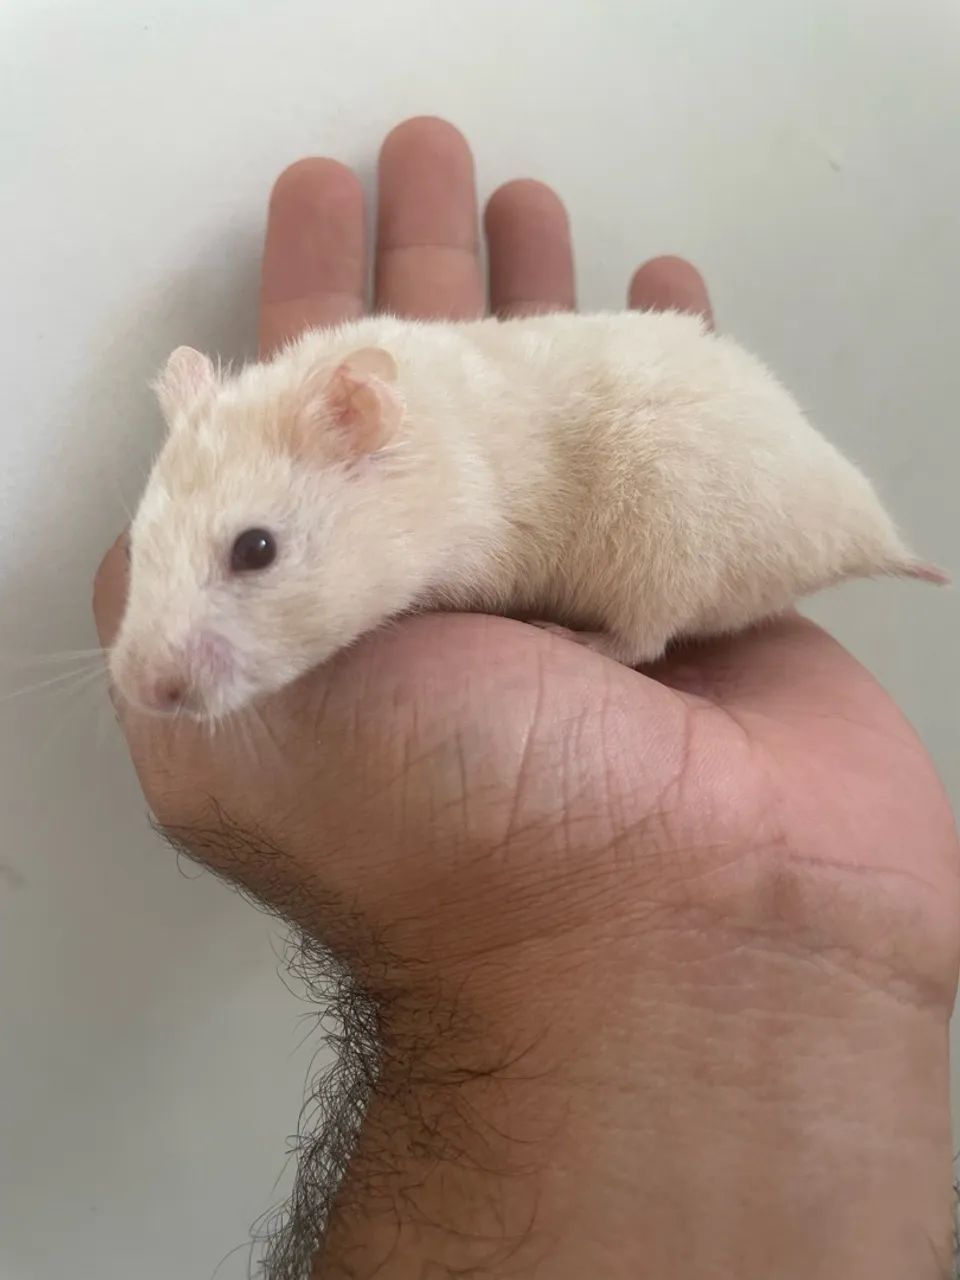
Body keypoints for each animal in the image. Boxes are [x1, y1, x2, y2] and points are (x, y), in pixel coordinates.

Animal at [109, 309, 945, 720]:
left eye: (256, 549)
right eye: (139, 543)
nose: (139, 692)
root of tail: (861, 529)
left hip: (667, 543)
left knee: (641, 640)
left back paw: (569, 635)